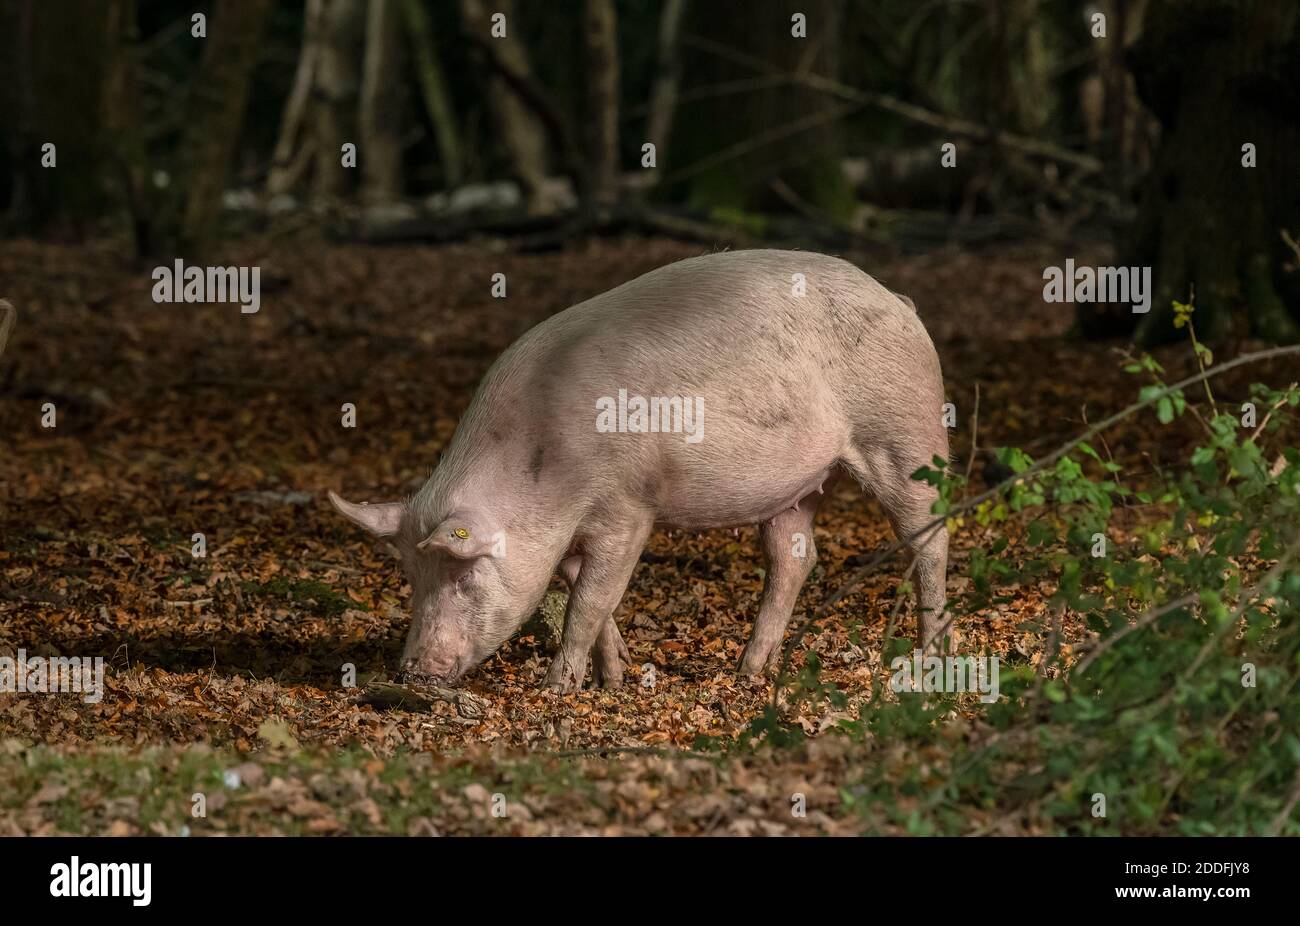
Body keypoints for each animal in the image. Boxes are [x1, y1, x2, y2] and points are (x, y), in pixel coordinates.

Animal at [330, 249, 951, 691]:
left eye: (463, 575)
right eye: (413, 578)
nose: (413, 670)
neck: (540, 472)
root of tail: (901, 301)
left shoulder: (627, 508)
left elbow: (588, 601)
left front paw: (556, 689)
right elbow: (588, 594)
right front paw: (614, 678)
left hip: (906, 435)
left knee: (929, 537)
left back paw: (930, 656)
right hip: (795, 487)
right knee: (794, 560)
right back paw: (749, 672)